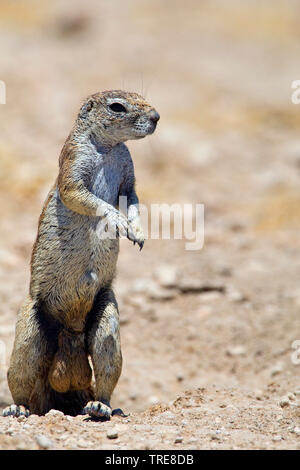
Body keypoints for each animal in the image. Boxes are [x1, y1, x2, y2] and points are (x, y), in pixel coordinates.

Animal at [3, 89, 161, 418]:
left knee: (106, 365)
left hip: (107, 318)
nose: (156, 117)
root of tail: (70, 336)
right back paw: (17, 408)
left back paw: (101, 406)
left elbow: (134, 198)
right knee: (22, 374)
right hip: (28, 334)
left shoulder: (129, 176)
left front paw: (138, 232)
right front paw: (117, 220)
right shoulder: (73, 162)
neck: (109, 149)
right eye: (117, 106)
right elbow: (80, 194)